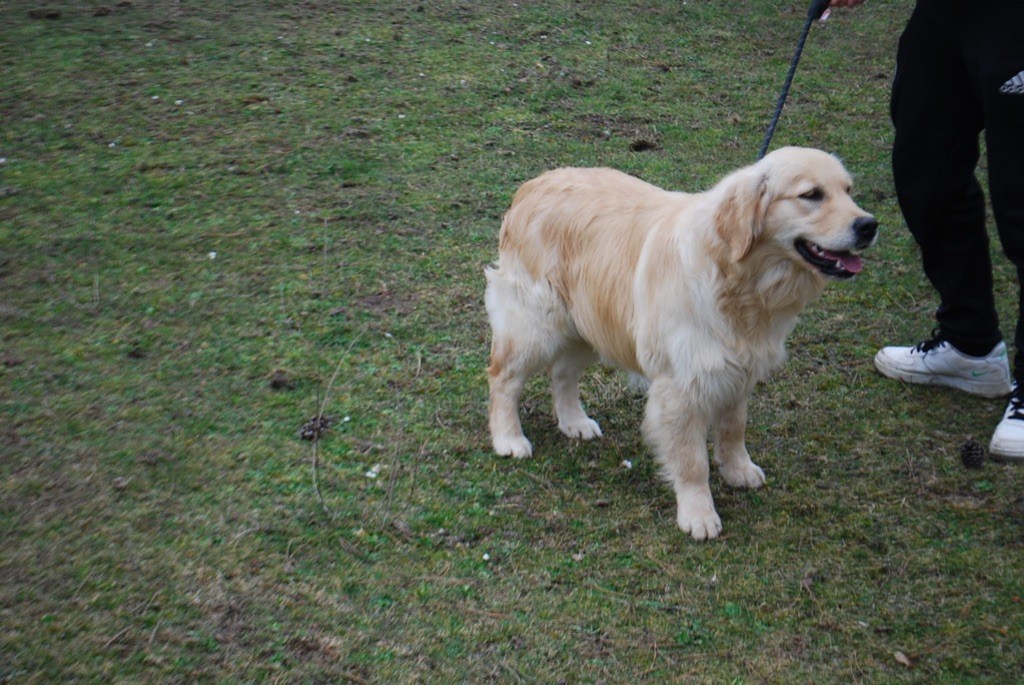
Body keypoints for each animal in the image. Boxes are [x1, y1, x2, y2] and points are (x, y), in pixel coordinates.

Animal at [483, 145, 876, 540]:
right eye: (811, 195)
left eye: (848, 190)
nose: (869, 225)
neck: (739, 282)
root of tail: (533, 185)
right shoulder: (682, 386)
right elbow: (691, 462)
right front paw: (698, 513)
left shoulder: (737, 372)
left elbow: (733, 429)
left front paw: (738, 469)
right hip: (535, 324)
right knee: (503, 377)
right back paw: (508, 439)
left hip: (588, 323)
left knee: (562, 373)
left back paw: (574, 422)